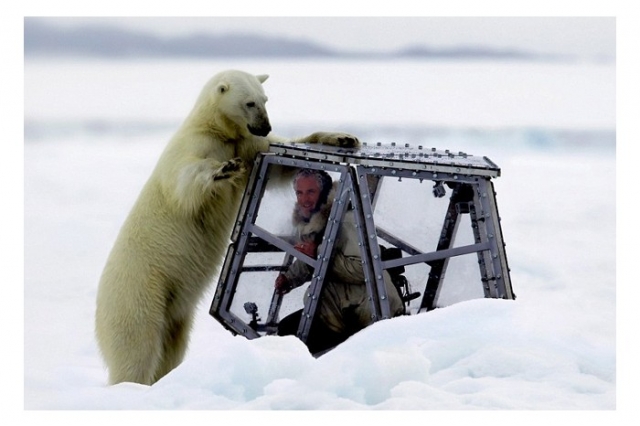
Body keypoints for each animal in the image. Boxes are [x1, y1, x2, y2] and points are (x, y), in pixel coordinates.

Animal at [94, 70, 360, 386]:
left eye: (265, 99)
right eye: (249, 103)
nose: (265, 126)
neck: (217, 129)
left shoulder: (247, 145)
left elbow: (280, 163)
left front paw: (342, 138)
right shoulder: (195, 146)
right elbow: (186, 182)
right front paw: (224, 169)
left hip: (174, 310)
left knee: (172, 344)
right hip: (140, 291)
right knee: (137, 347)